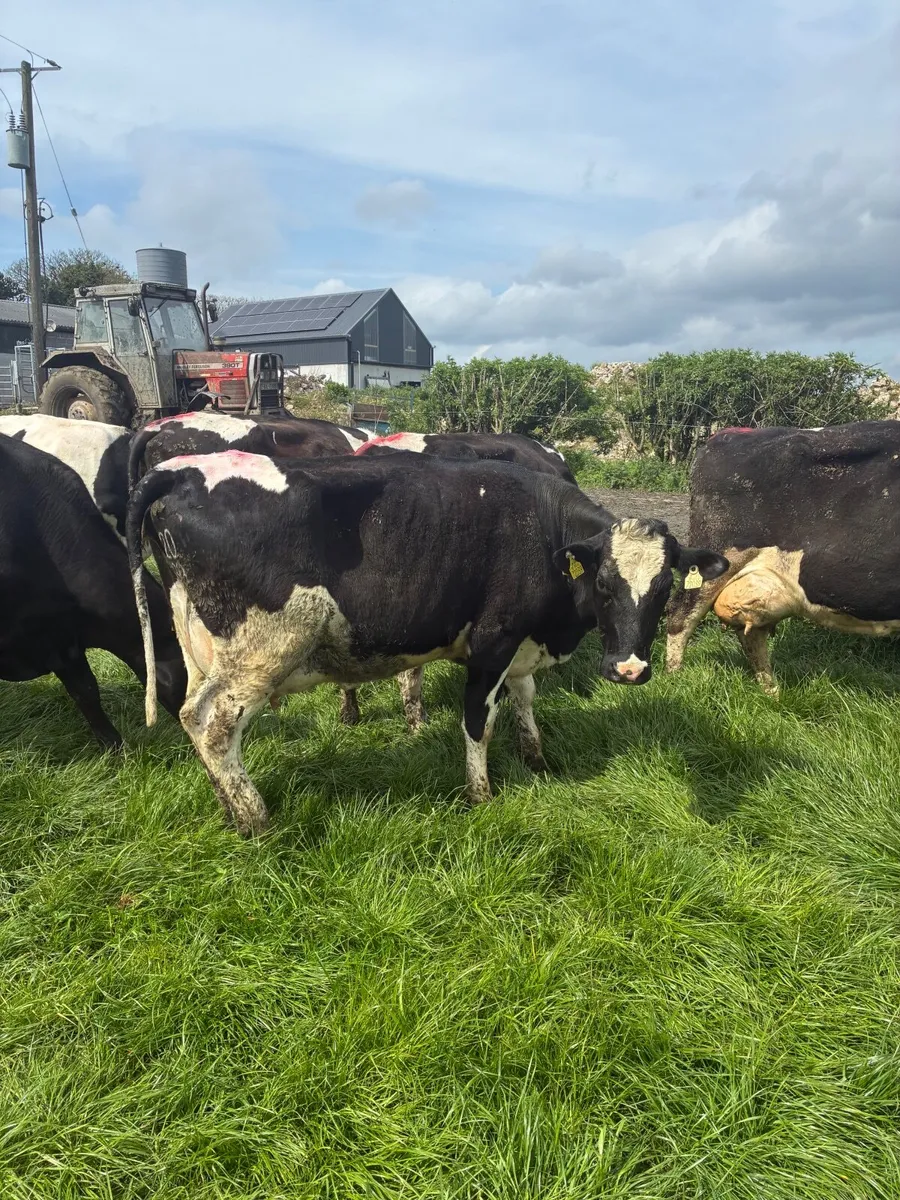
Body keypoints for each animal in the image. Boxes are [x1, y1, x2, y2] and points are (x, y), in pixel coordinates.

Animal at [127, 449, 727, 835]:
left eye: (664, 587)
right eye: (604, 584)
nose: (630, 670)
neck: (542, 531)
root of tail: (179, 470)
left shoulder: (522, 646)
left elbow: (526, 698)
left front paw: (536, 759)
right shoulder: (493, 641)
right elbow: (478, 721)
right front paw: (480, 795)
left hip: (199, 644)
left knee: (190, 714)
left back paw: (228, 810)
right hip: (264, 649)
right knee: (212, 722)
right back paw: (255, 820)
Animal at [666, 421, 900, 695]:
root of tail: (730, 433)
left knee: (750, 632)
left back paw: (772, 693)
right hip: (717, 557)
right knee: (680, 615)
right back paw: (674, 679)